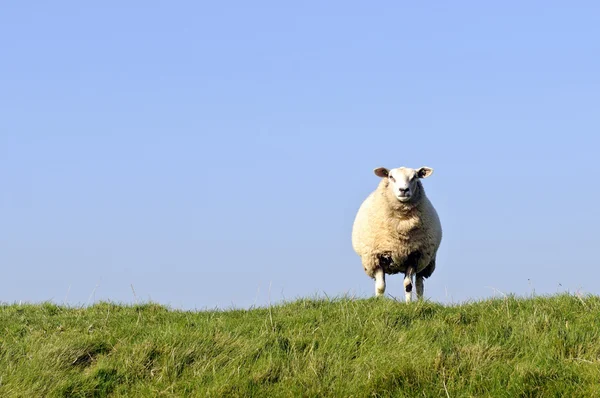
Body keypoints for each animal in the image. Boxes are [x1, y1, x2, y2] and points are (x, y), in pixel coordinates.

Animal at [352, 166, 440, 302]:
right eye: (391, 177)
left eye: (415, 177)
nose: (403, 190)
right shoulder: (377, 256)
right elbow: (380, 286)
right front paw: (379, 302)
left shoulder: (414, 256)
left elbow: (408, 285)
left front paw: (408, 304)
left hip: (426, 260)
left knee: (419, 284)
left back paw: (420, 302)